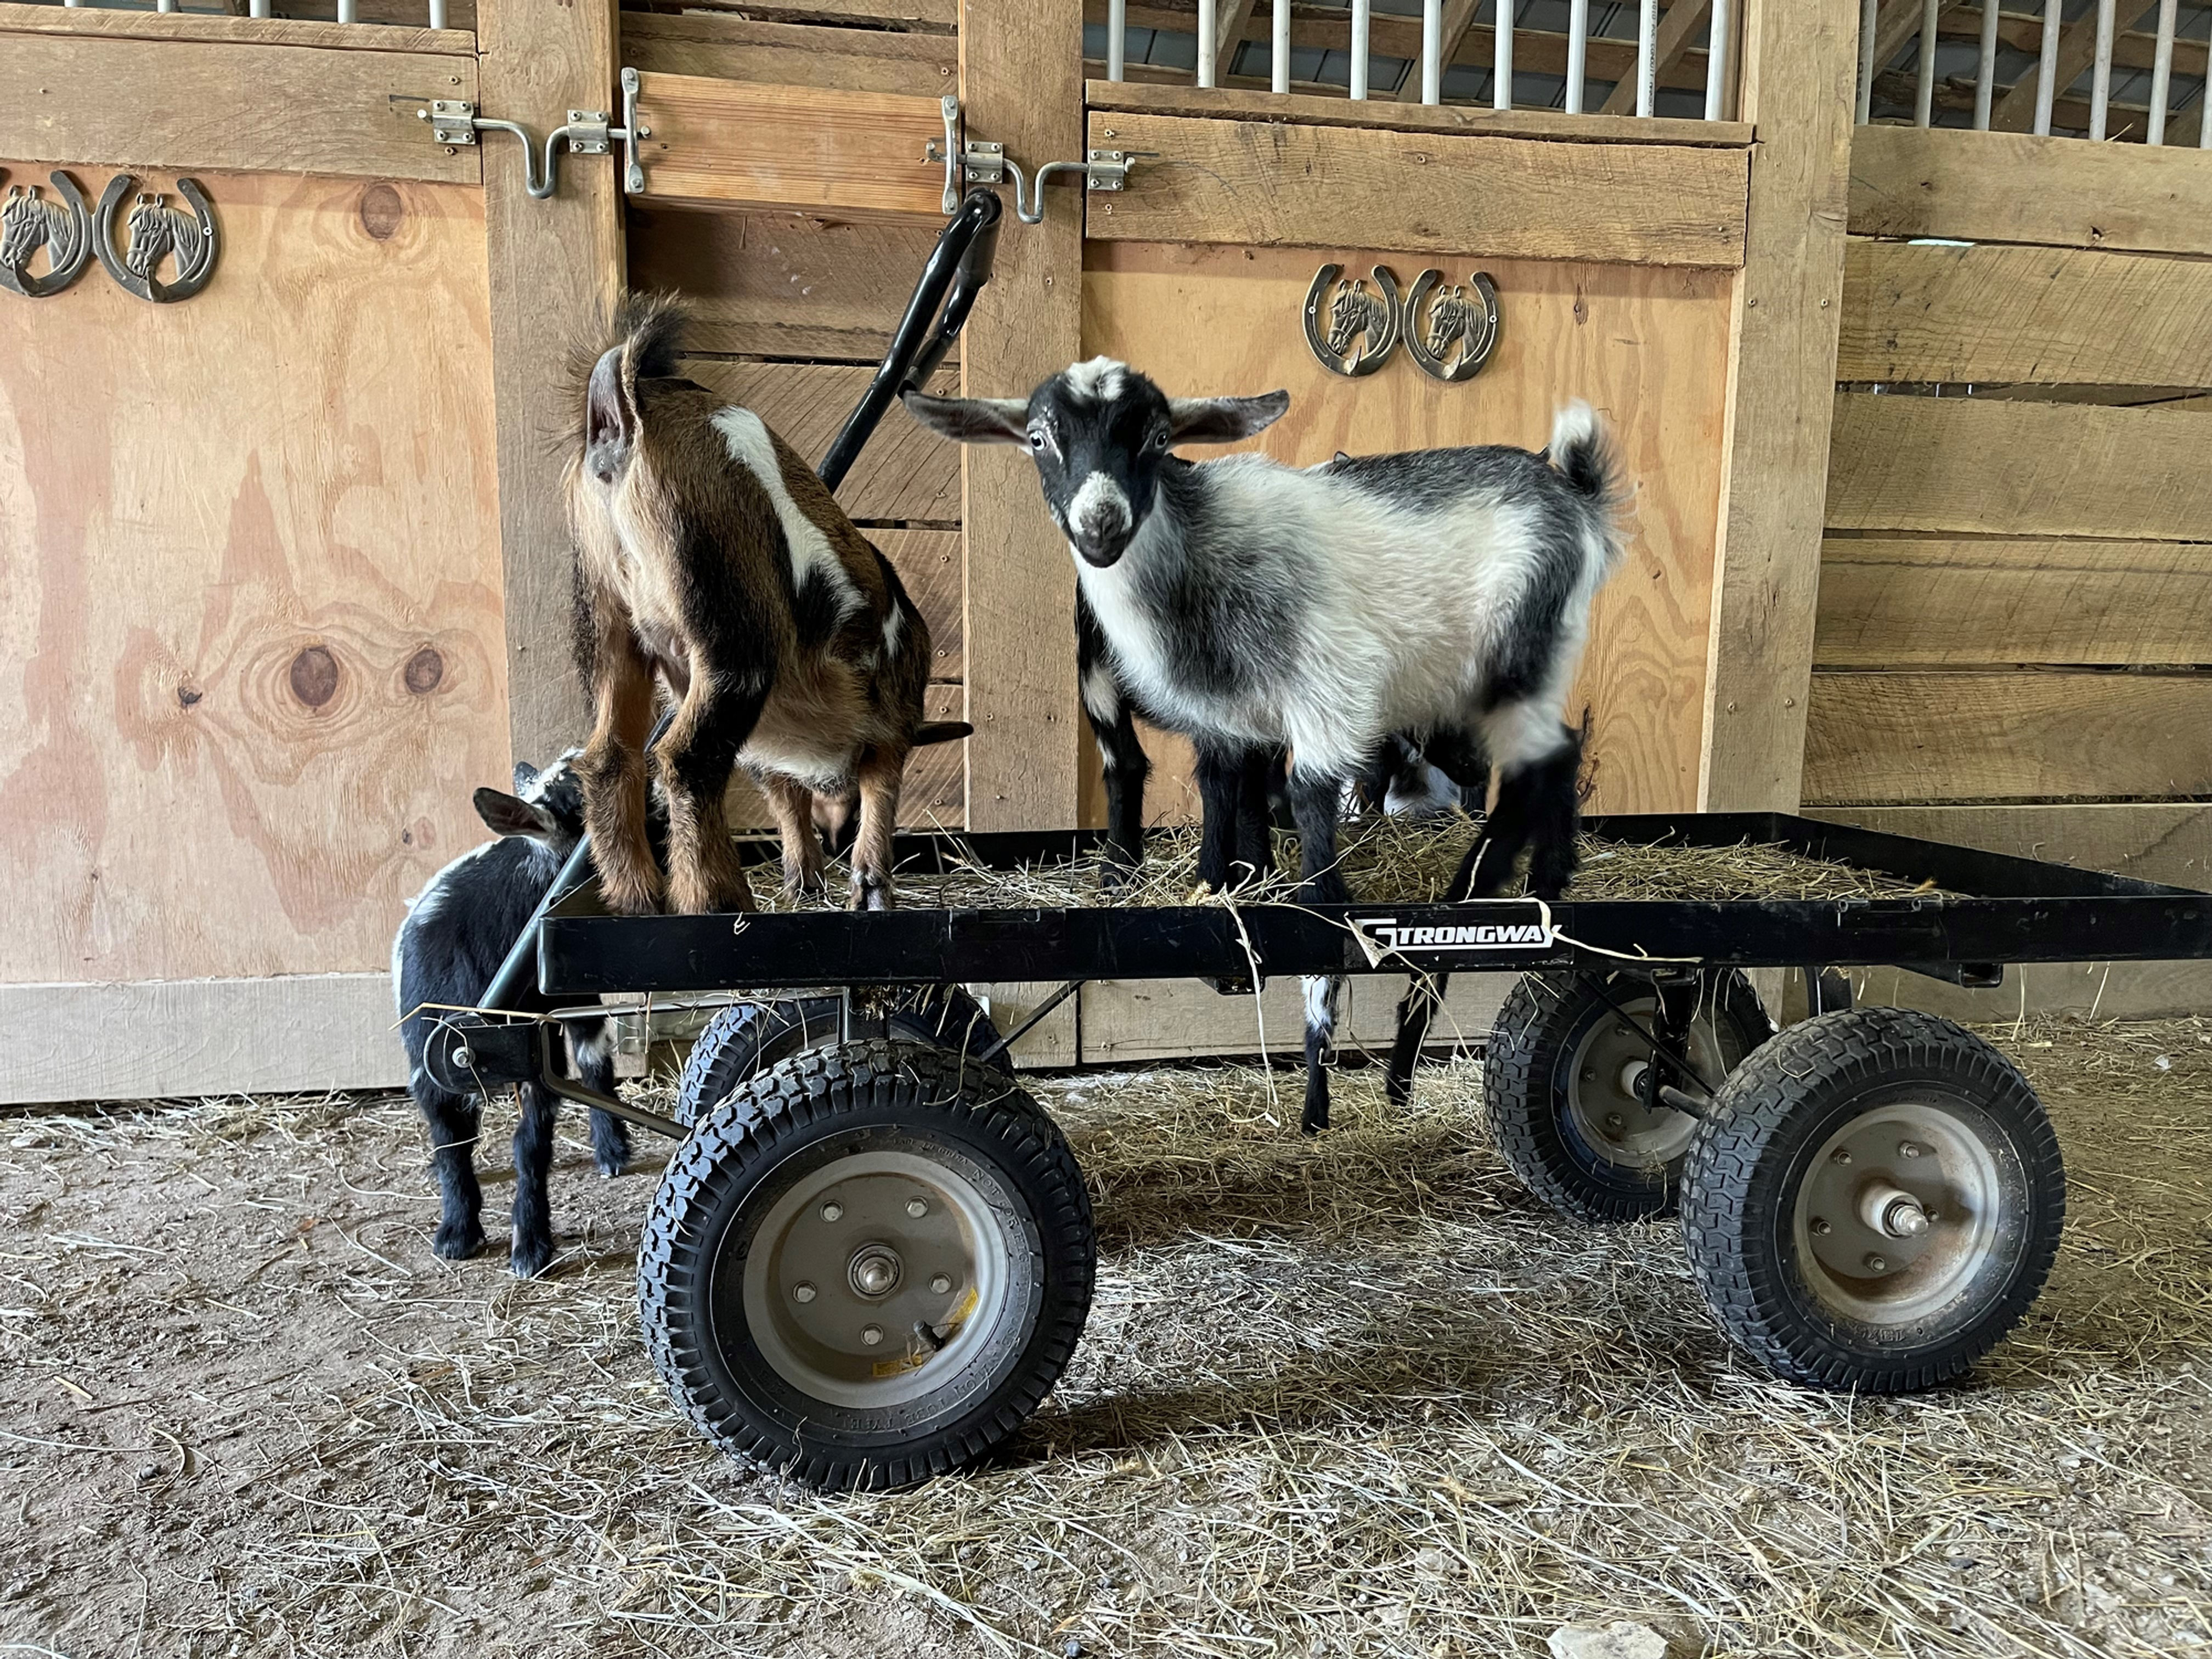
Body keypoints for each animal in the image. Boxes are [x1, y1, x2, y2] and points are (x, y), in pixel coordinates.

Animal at [393, 757, 630, 1278]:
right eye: (585, 796)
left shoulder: (536, 1060)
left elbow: (531, 1147)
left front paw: (531, 1244)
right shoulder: (427, 1065)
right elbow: (450, 1146)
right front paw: (457, 1231)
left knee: (593, 1055)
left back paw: (612, 1148)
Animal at [566, 296, 968, 917]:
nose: (835, 829)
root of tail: (623, 418)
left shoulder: (764, 755)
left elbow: (784, 800)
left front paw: (805, 883)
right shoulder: (892, 727)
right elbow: (880, 790)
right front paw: (870, 890)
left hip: (605, 614)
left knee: (609, 756)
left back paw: (639, 902)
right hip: (732, 629)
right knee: (686, 759)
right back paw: (720, 900)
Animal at [908, 360, 1623, 1128]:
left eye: (1158, 437)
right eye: (1039, 438)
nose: (1101, 527)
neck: (1197, 556)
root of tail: (1575, 496)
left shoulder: (1329, 691)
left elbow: (1311, 830)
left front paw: (1316, 1064)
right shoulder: (1229, 720)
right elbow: (1225, 796)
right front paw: (1219, 896)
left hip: (1517, 653)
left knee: (1532, 768)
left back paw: (1470, 924)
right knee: (1557, 754)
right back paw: (1544, 887)